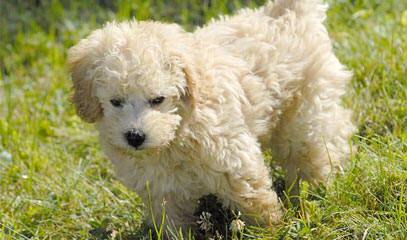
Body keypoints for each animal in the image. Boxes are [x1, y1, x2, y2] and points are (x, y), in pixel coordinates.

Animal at [67, 0, 354, 231]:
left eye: (158, 100)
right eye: (115, 102)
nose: (135, 137)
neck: (176, 134)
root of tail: (285, 11)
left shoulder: (234, 160)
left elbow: (254, 199)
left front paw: (270, 229)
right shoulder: (159, 188)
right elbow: (170, 222)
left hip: (306, 109)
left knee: (318, 147)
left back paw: (316, 190)